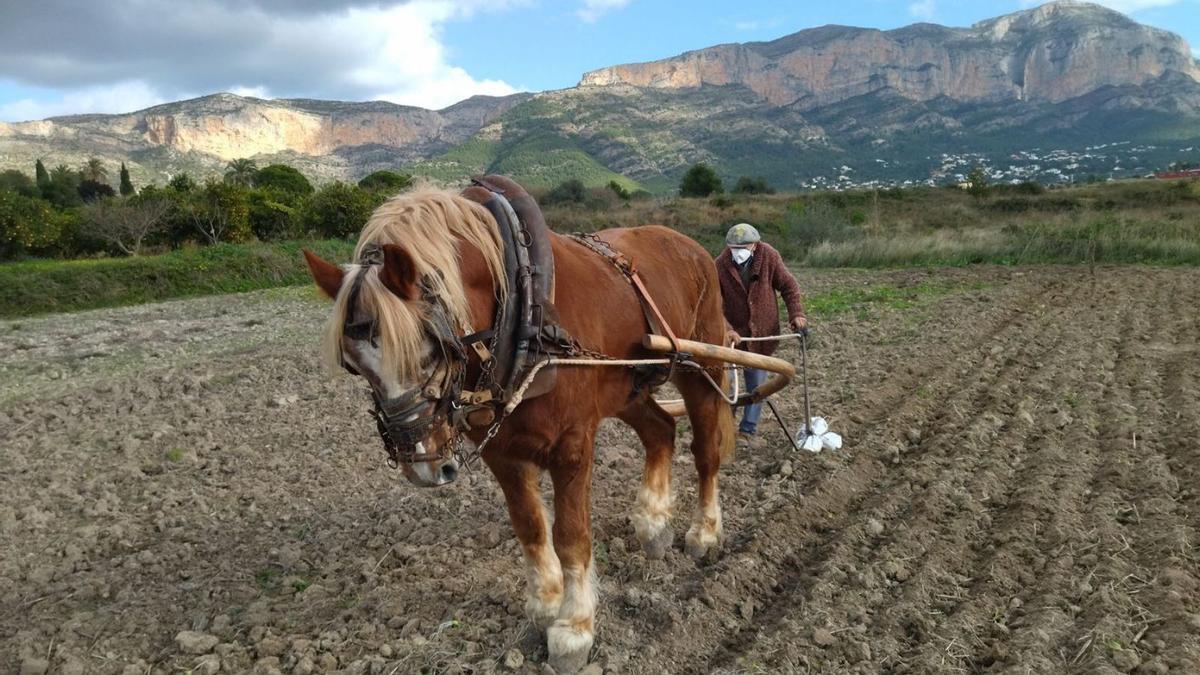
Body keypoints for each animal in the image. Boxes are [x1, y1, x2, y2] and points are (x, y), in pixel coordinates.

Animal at [302, 184, 729, 672]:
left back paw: (704, 533)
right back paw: (653, 524)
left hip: (703, 368)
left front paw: (574, 628)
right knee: (660, 431)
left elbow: (570, 536)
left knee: (706, 451)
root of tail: (690, 245)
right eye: (353, 366)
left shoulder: (572, 444)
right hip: (627, 388)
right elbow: (529, 527)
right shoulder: (501, 451)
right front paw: (545, 604)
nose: (423, 465)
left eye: (431, 349)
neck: (525, 313)